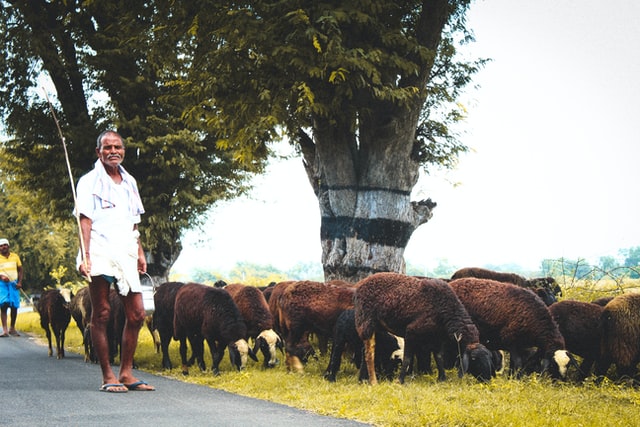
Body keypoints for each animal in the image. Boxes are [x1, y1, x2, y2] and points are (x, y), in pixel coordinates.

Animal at [352, 274, 492, 388]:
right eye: (474, 359)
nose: (487, 381)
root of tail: (360, 284)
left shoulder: (437, 338)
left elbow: (439, 358)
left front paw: (442, 378)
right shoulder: (410, 332)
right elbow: (407, 358)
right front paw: (400, 381)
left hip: (376, 326)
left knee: (365, 351)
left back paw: (362, 380)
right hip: (366, 321)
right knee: (369, 354)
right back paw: (373, 381)